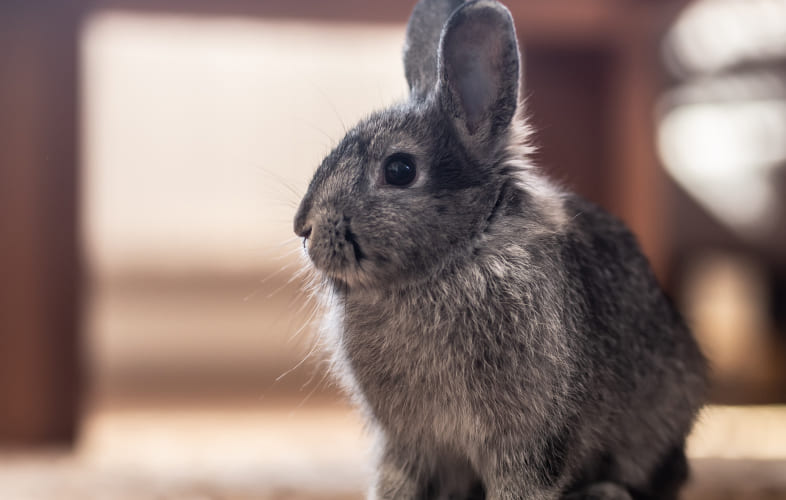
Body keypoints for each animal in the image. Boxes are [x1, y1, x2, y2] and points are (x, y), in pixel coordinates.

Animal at [292, 1, 708, 499]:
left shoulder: (528, 439)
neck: (460, 254)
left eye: (399, 170)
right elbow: (396, 481)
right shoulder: (409, 444)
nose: (303, 228)